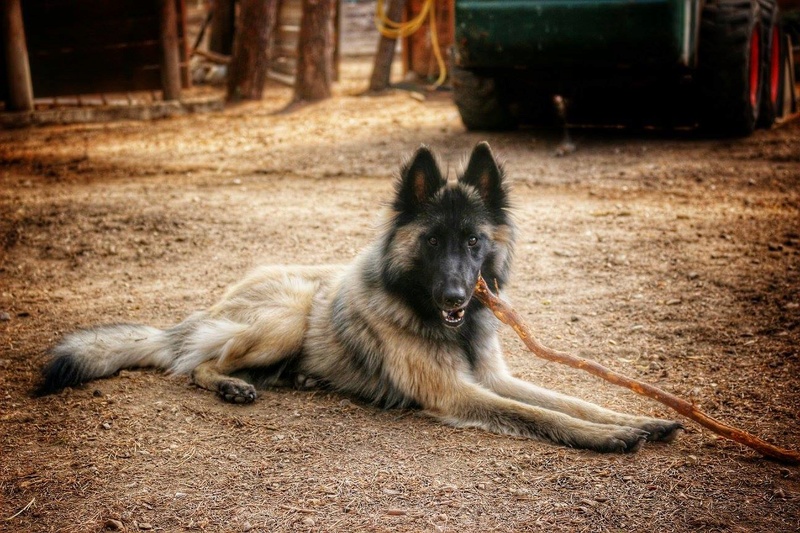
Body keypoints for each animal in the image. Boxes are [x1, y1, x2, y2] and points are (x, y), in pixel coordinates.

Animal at [37, 143, 680, 450]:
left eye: (473, 241)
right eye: (432, 241)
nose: (455, 294)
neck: (434, 318)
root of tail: (208, 311)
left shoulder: (493, 378)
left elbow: (571, 401)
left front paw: (636, 419)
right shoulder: (457, 393)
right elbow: (543, 417)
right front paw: (610, 438)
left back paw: (297, 377)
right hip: (289, 312)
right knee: (198, 365)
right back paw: (231, 385)